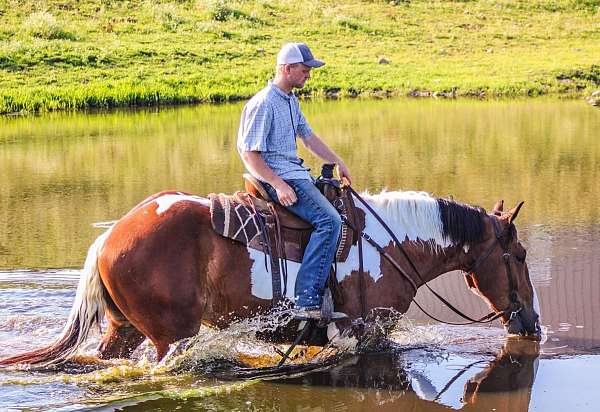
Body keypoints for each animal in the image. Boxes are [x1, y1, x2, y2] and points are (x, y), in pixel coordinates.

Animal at [0, 188, 540, 366]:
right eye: (520, 254)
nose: (532, 323)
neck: (389, 246)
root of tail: (109, 237)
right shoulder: (364, 331)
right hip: (170, 335)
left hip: (124, 328)